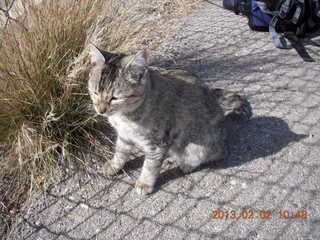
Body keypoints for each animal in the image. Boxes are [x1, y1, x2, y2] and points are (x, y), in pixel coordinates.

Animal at [87, 45, 252, 195]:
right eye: (95, 92)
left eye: (115, 98)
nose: (100, 110)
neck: (124, 116)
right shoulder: (124, 135)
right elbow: (120, 151)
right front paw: (114, 165)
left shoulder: (157, 143)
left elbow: (150, 166)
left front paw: (145, 183)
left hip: (198, 146)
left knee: (214, 154)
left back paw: (186, 164)